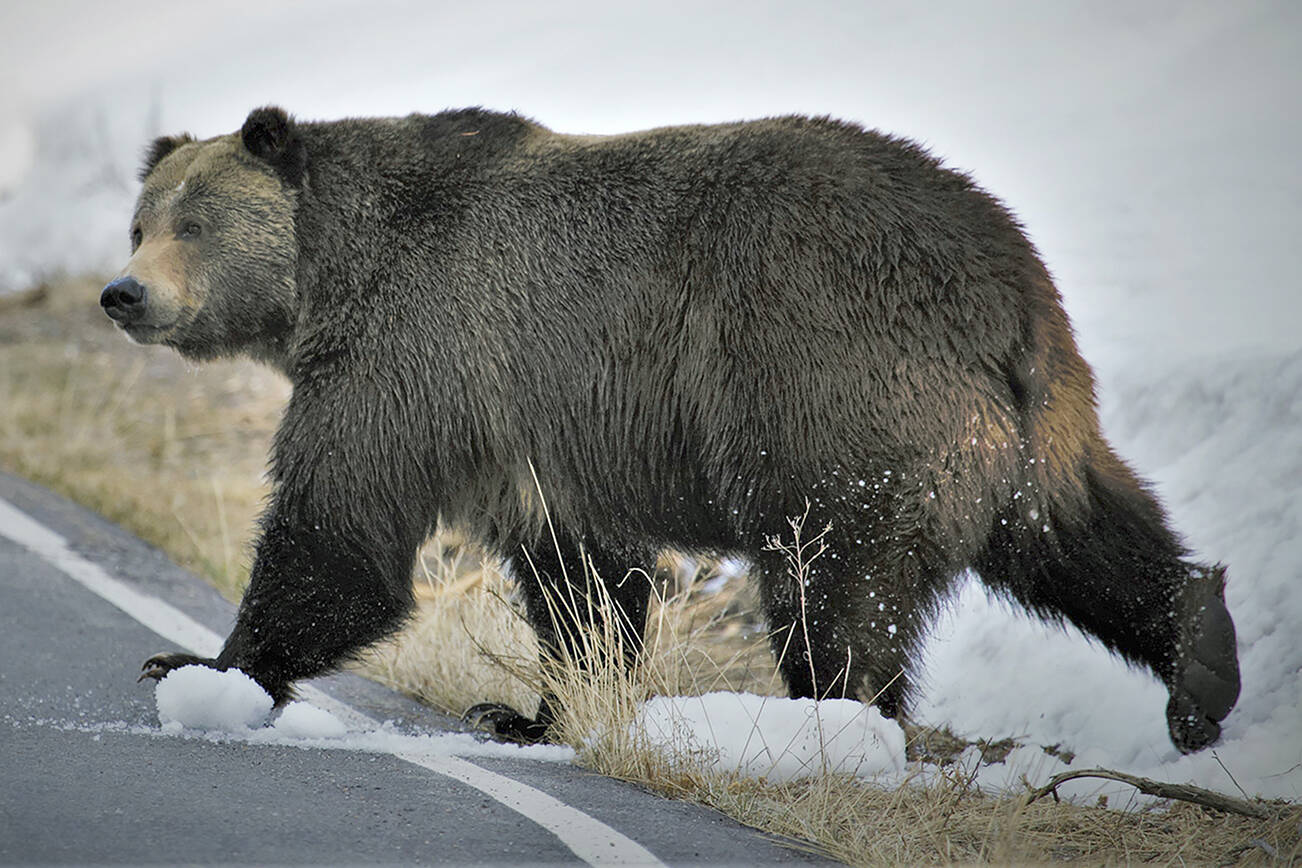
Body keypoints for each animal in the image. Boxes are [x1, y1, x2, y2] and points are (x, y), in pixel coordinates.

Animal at [104, 103, 1239, 754]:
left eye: (193, 223)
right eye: (140, 220)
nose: (123, 293)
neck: (328, 279)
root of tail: (1012, 284)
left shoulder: (415, 355)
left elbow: (340, 531)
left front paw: (202, 664)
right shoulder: (536, 431)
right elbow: (582, 580)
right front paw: (527, 711)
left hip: (831, 388)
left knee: (833, 586)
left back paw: (835, 721)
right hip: (1031, 429)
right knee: (1083, 535)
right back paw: (1203, 661)